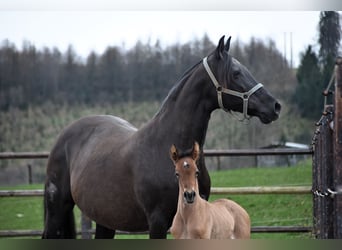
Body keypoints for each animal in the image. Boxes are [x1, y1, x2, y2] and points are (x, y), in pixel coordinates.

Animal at [41, 36, 280, 239]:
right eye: (237, 73)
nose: (274, 106)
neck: (167, 146)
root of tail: (64, 136)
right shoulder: (157, 222)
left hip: (105, 219)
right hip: (57, 209)